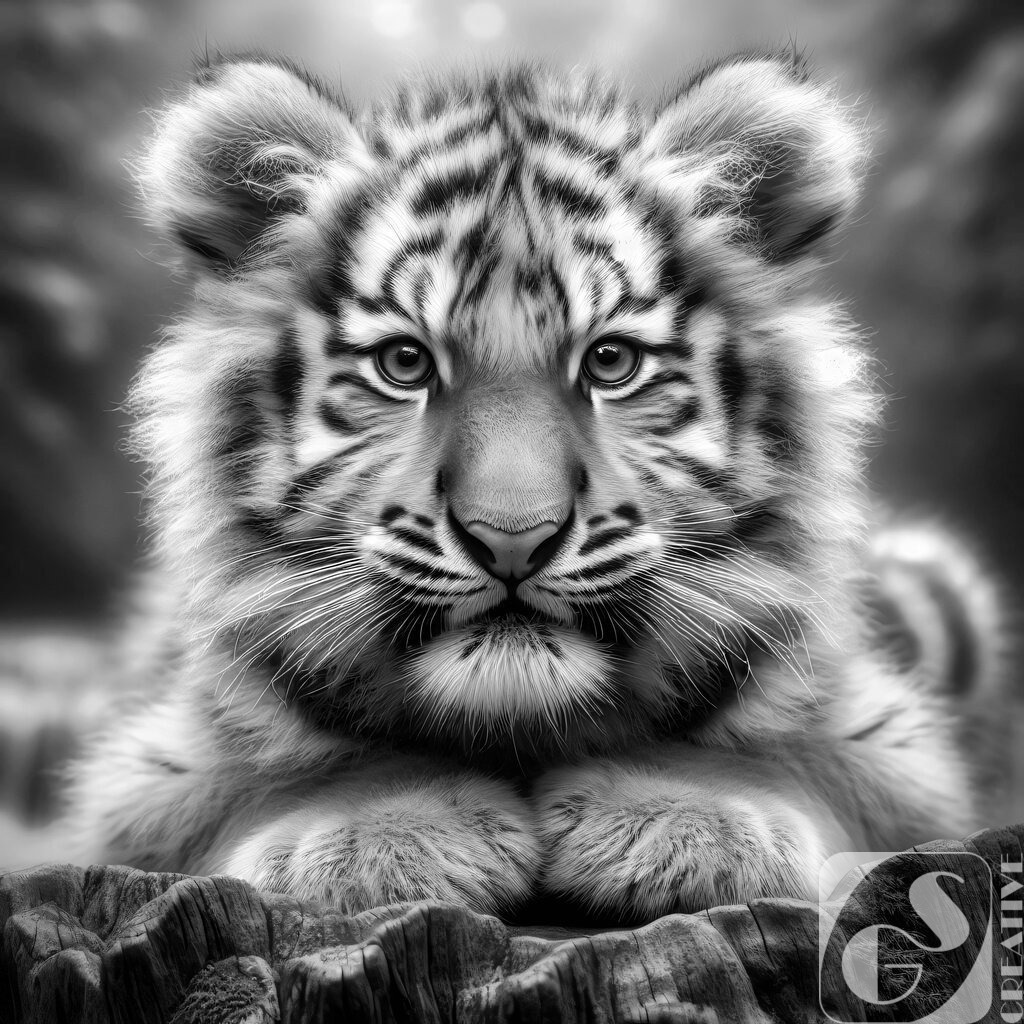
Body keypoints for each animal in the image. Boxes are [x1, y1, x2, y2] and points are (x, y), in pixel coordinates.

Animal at [64, 51, 1007, 923]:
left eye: (612, 361)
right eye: (404, 363)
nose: (512, 536)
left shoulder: (891, 741)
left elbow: (803, 757)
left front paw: (683, 817)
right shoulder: (145, 765)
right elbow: (272, 768)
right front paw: (383, 833)